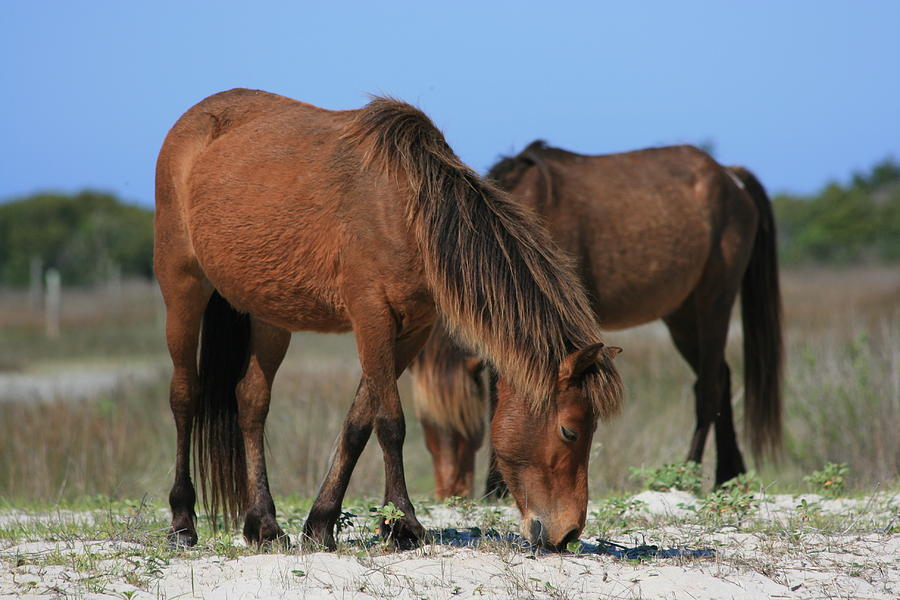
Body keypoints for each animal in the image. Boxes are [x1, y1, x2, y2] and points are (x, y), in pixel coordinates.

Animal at [155, 91, 624, 552]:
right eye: (569, 431)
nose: (568, 534)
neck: (407, 212)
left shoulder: (411, 330)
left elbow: (358, 424)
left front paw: (322, 524)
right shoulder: (372, 318)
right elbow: (391, 423)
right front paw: (403, 525)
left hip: (269, 314)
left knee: (252, 402)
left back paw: (264, 525)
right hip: (183, 288)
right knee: (184, 396)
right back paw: (182, 522)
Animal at [412, 141, 784, 496]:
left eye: (464, 423)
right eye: (426, 424)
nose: (451, 491)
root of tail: (729, 176)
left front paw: (497, 487)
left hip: (713, 304)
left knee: (708, 389)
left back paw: (687, 477)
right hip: (682, 318)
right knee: (721, 378)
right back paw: (728, 476)